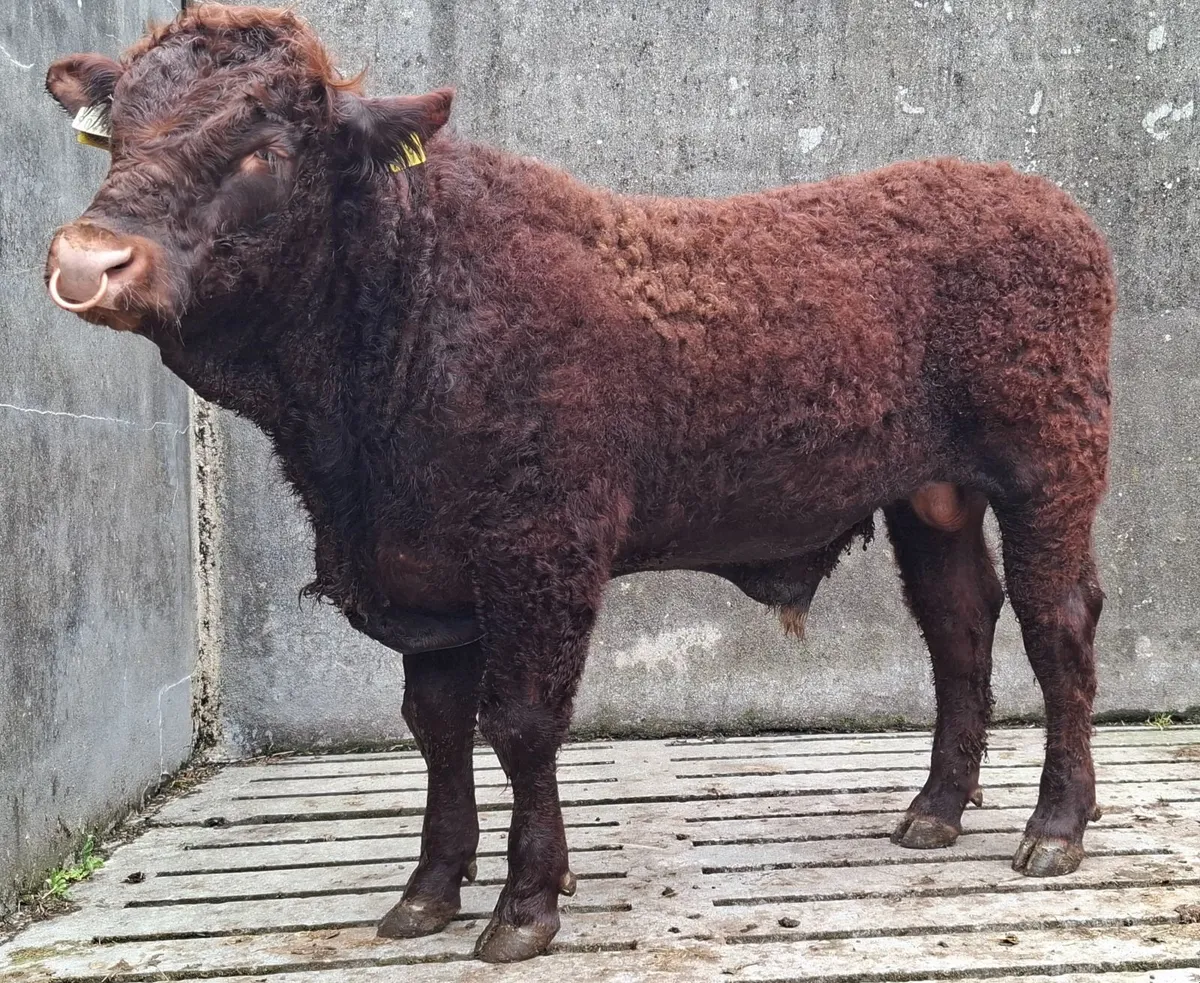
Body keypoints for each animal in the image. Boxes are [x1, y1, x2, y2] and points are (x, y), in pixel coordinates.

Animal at [44, 5, 1114, 963]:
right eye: (118, 131)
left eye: (263, 148)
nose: (88, 261)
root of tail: (1038, 196)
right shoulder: (428, 574)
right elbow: (436, 728)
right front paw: (426, 892)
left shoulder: (539, 548)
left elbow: (520, 723)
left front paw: (525, 904)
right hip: (933, 496)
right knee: (957, 622)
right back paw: (934, 810)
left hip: (1051, 469)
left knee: (1055, 618)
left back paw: (1055, 828)